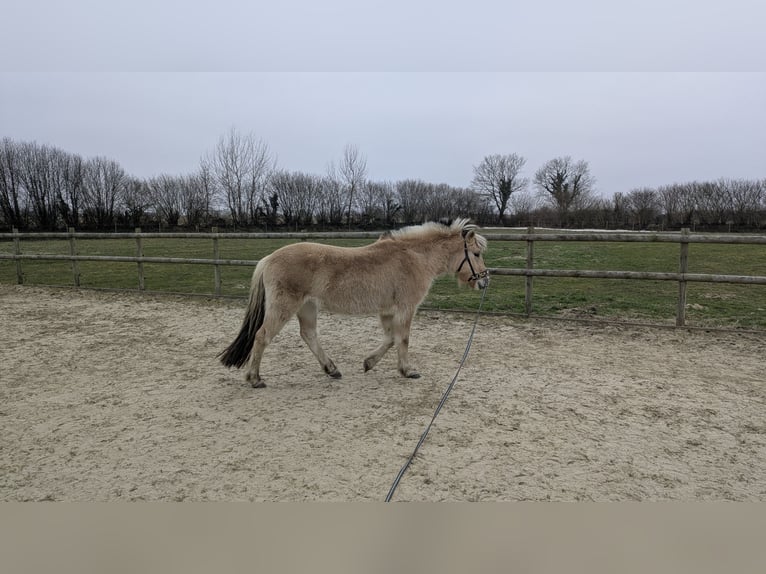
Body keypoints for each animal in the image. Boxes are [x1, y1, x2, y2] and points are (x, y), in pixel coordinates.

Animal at [218, 218, 489, 388]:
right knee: (262, 336)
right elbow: (402, 339)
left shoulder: (387, 311)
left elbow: (390, 339)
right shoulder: (405, 309)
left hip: (307, 307)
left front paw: (369, 363)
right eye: (476, 254)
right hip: (284, 308)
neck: (413, 257)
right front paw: (408, 370)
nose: (484, 281)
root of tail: (269, 258)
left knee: (309, 335)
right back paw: (255, 379)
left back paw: (331, 369)